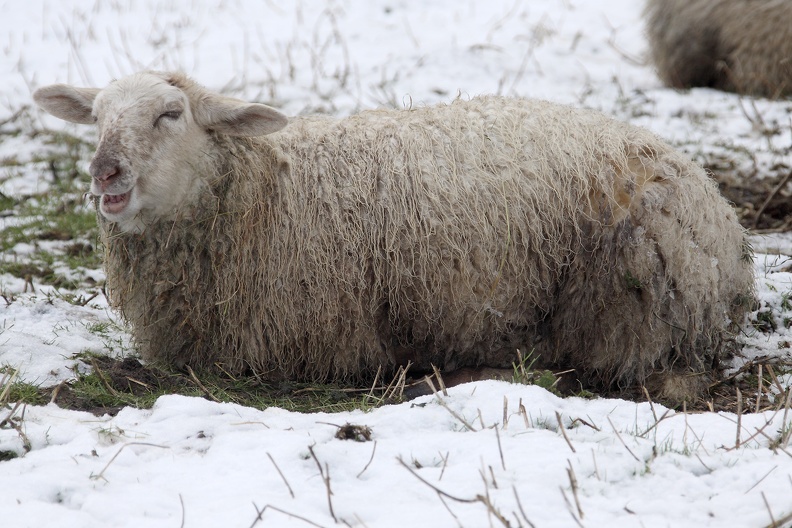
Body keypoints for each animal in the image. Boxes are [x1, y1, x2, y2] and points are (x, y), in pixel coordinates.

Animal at [34, 71, 756, 400]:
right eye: (95, 117)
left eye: (171, 113)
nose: (105, 172)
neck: (264, 190)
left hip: (625, 297)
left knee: (606, 366)